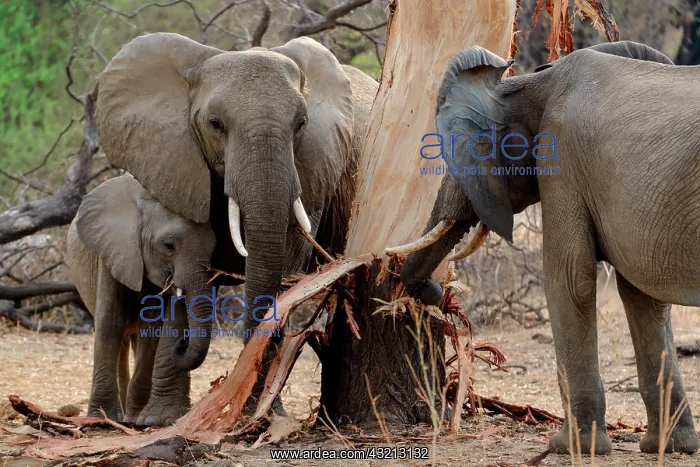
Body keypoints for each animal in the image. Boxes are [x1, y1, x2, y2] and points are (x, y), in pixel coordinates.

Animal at [66, 173, 216, 425]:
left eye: (214, 248)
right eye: (169, 246)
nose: (182, 343)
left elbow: (151, 327)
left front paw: (136, 418)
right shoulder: (112, 252)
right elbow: (110, 323)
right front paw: (99, 418)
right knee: (121, 340)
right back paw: (118, 416)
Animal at [92, 32, 378, 411]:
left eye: (301, 124)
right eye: (215, 124)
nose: (183, 347)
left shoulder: (314, 166)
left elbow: (285, 263)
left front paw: (263, 412)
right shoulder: (172, 160)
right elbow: (185, 272)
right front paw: (164, 418)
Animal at [396, 41, 700, 455]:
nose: (438, 293)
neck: (533, 81)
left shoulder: (562, 162)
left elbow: (570, 278)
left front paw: (569, 447)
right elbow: (642, 298)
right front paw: (666, 447)